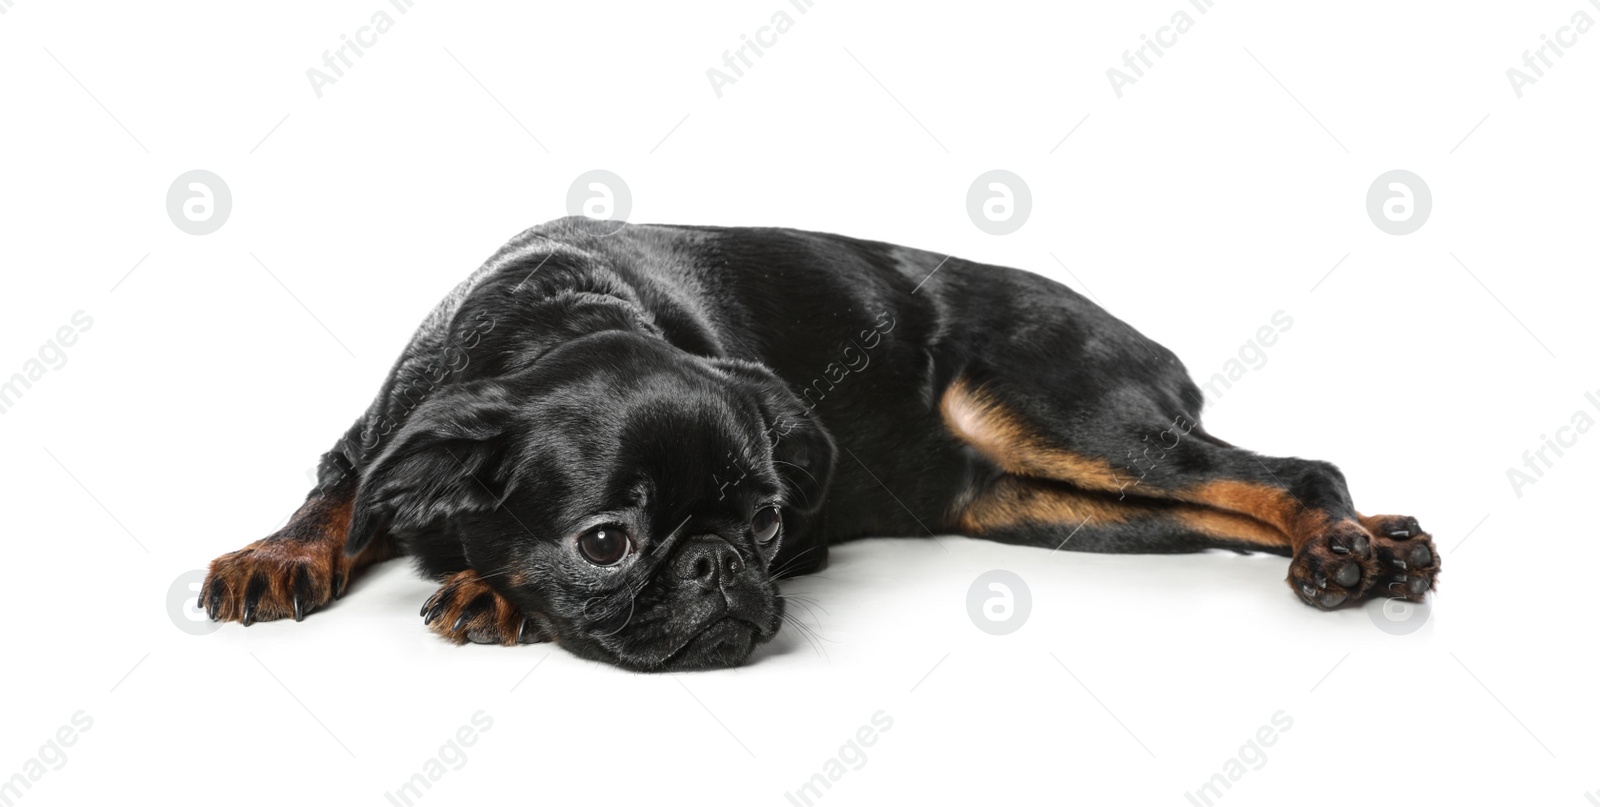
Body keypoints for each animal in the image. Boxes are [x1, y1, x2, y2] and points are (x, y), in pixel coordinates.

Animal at [200, 217, 1440, 672]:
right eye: (605, 543)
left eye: (764, 523)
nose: (720, 565)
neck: (560, 313)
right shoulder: (373, 443)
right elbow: (334, 497)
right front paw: (278, 554)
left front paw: (486, 589)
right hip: (1056, 507)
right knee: (1224, 509)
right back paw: (1376, 549)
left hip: (1073, 412)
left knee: (1286, 473)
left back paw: (1345, 549)